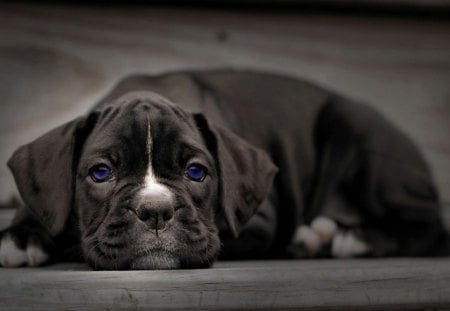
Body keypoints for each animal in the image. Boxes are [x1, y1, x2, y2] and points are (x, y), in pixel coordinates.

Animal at [0, 69, 450, 270]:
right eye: (100, 174)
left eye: (197, 172)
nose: (156, 211)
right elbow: (41, 205)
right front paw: (20, 236)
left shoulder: (261, 218)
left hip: (361, 139)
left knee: (428, 227)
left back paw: (348, 238)